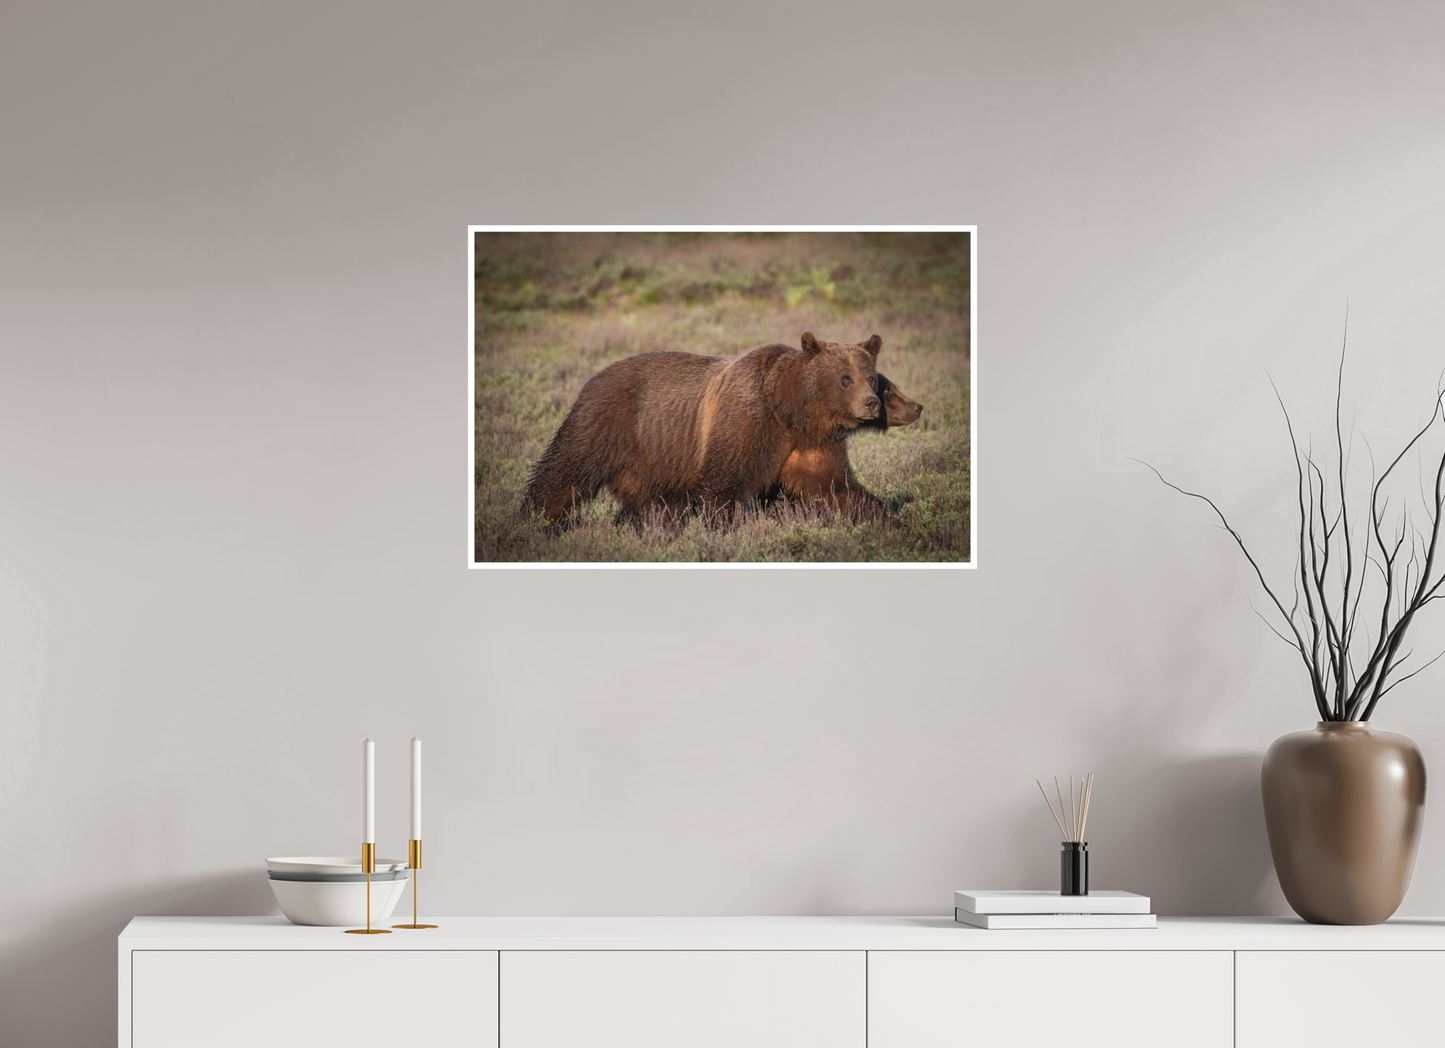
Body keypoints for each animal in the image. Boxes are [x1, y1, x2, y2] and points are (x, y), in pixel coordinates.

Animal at [522, 332, 883, 526]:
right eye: (845, 378)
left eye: (871, 376)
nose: (872, 403)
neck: (790, 411)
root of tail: (592, 377)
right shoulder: (746, 422)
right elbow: (722, 486)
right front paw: (724, 528)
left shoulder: (810, 445)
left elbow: (837, 488)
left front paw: (883, 517)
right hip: (606, 423)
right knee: (564, 472)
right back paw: (534, 520)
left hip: (650, 463)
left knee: (652, 505)